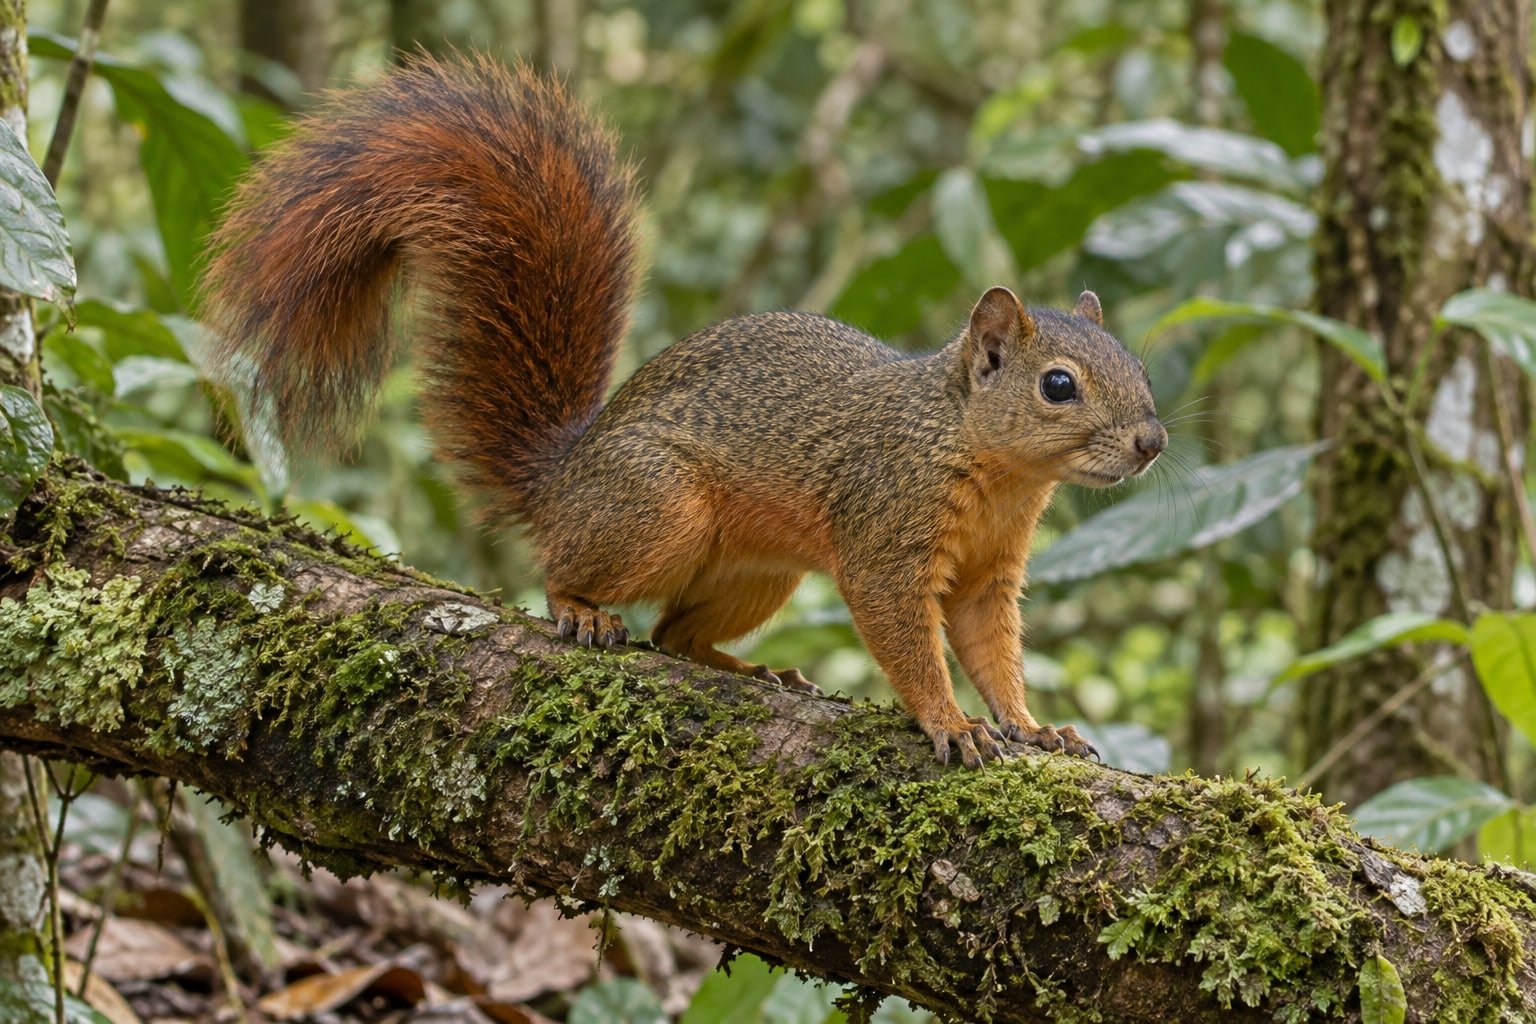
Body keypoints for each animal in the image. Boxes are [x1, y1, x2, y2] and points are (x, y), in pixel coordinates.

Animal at [201, 55, 1167, 769]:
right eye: (1058, 386)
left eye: (1139, 365)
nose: (1153, 442)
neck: (994, 464)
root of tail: (562, 476)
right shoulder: (886, 524)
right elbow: (906, 634)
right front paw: (951, 723)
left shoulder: (990, 573)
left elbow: (991, 650)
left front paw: (1034, 726)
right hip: (659, 509)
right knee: (571, 574)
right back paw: (583, 611)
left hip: (758, 573)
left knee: (674, 635)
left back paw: (761, 669)